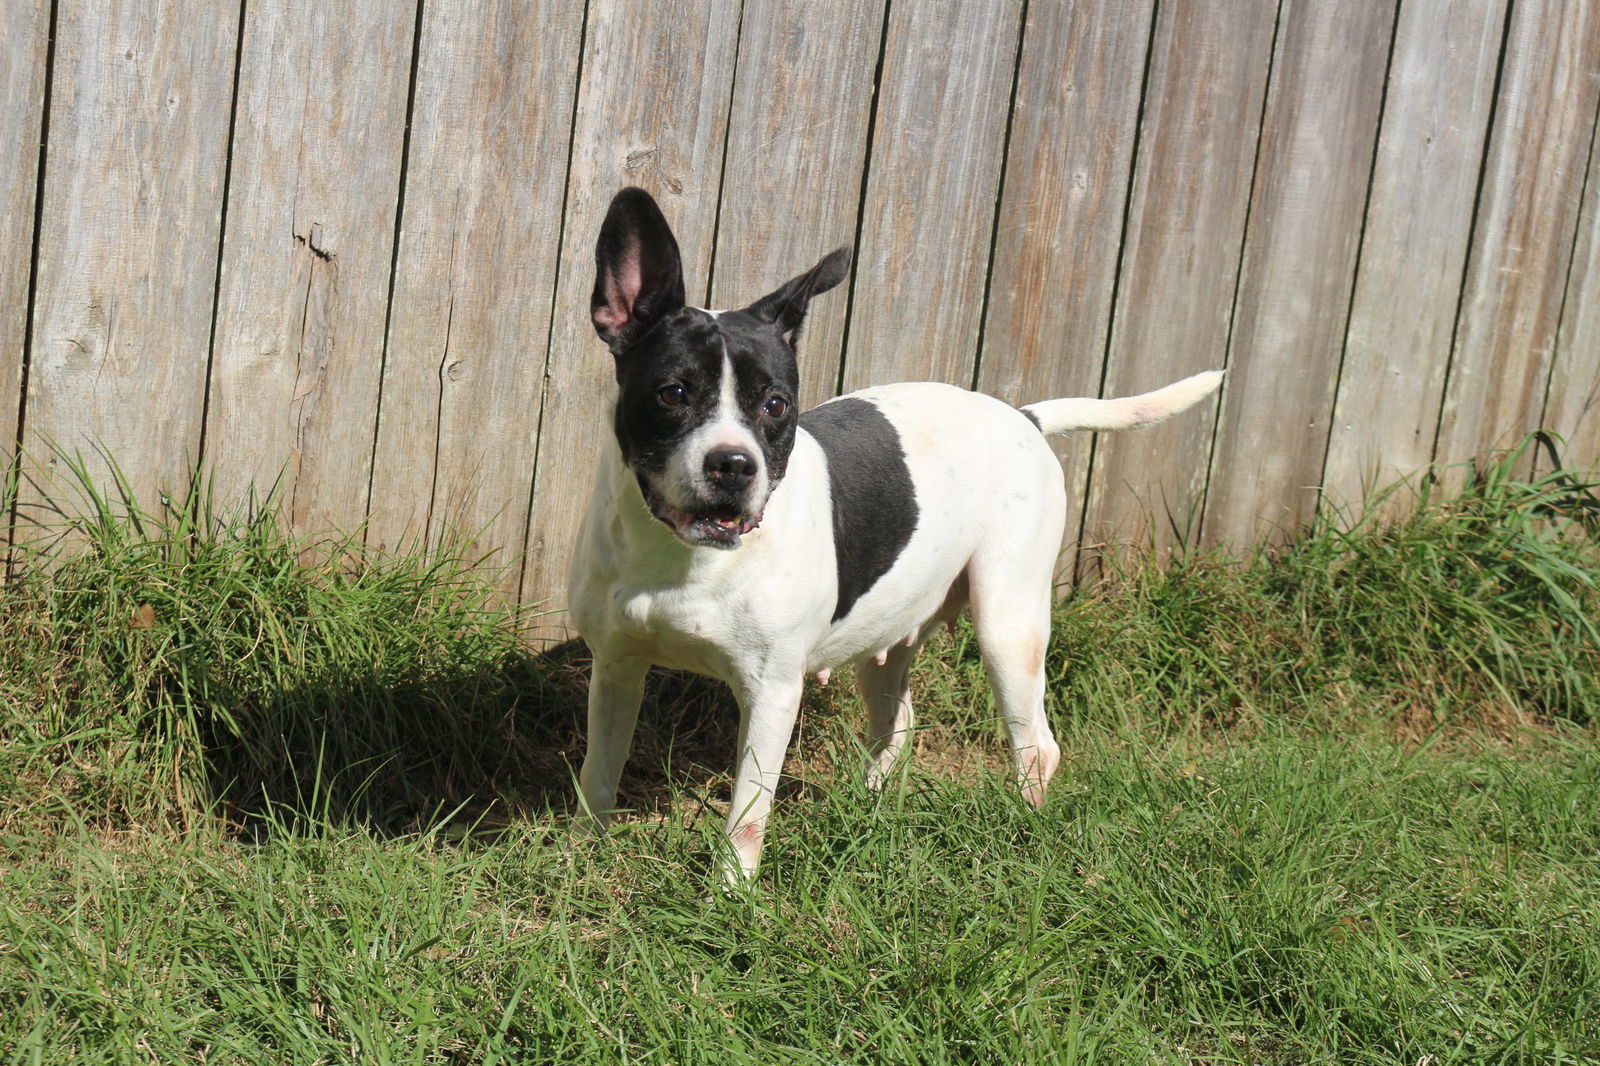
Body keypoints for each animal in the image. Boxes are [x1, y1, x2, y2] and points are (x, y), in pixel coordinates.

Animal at [569, 186, 1216, 877]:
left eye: (775, 405)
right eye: (672, 393)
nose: (734, 464)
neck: (679, 559)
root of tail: (1023, 415)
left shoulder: (771, 694)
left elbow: (745, 816)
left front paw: (730, 892)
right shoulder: (615, 669)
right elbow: (598, 777)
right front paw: (580, 860)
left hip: (1008, 627)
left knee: (1036, 745)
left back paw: (1023, 828)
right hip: (886, 638)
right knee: (898, 727)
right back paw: (866, 805)